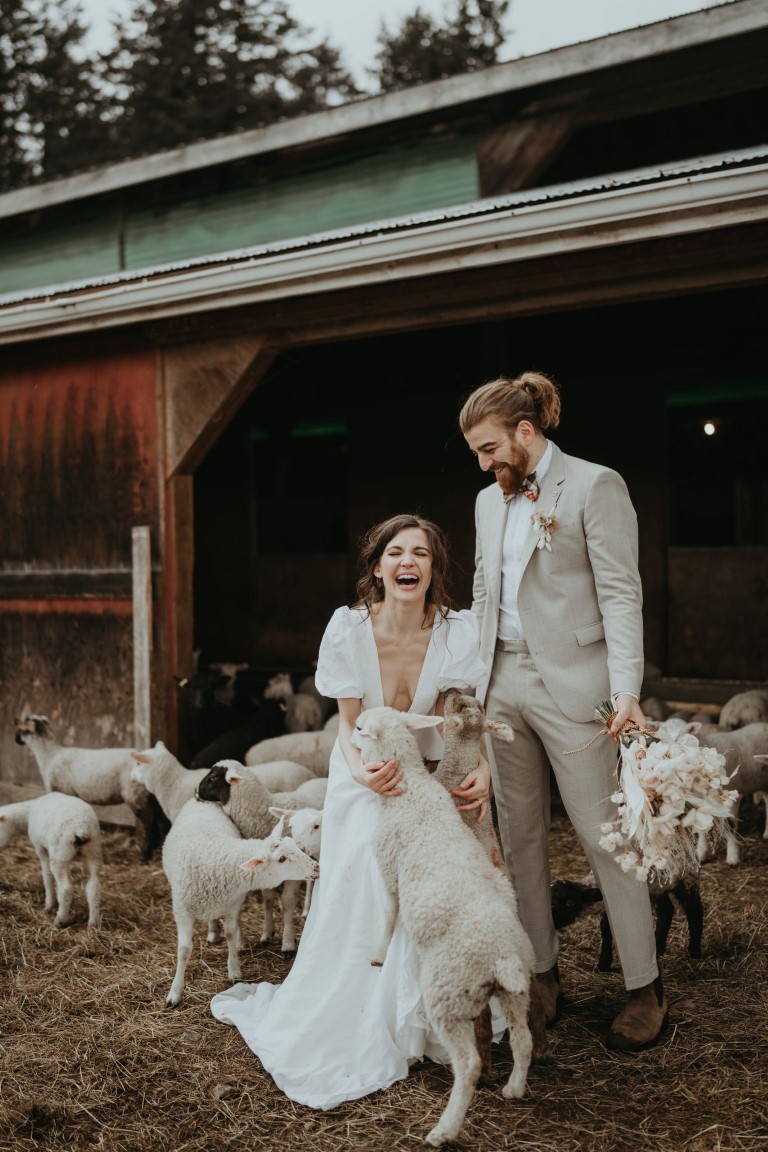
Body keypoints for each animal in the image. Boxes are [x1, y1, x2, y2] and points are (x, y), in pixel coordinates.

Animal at [0, 792, 101, 926]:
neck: (27, 813)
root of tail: (81, 827)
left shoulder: (40, 848)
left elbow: (47, 875)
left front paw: (49, 905)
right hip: (93, 852)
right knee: (93, 888)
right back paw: (93, 924)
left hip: (60, 854)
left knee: (66, 889)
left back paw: (60, 919)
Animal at [15, 709, 166, 866]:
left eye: (21, 730)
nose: (16, 740)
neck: (49, 755)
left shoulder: (62, 790)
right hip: (150, 794)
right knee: (162, 820)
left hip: (135, 794)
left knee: (150, 824)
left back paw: (145, 856)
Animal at [162, 801, 317, 1009]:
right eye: (282, 859)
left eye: (293, 845)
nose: (316, 867)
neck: (215, 859)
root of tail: (200, 800)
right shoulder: (181, 910)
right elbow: (184, 949)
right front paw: (175, 992)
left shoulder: (232, 903)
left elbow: (230, 933)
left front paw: (234, 970)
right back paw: (213, 931)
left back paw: (238, 941)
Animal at [195, 755, 327, 953]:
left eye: (212, 778)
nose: (195, 791)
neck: (261, 812)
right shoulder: (266, 867)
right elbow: (268, 897)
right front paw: (267, 933)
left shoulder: (293, 871)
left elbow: (287, 901)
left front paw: (288, 943)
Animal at [352, 705, 545, 1147]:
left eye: (359, 728)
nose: (349, 739)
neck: (410, 786)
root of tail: (500, 956)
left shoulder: (388, 868)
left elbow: (389, 912)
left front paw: (378, 954)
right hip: (514, 991)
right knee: (523, 1039)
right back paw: (513, 1088)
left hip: (447, 994)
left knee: (469, 1063)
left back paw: (444, 1129)